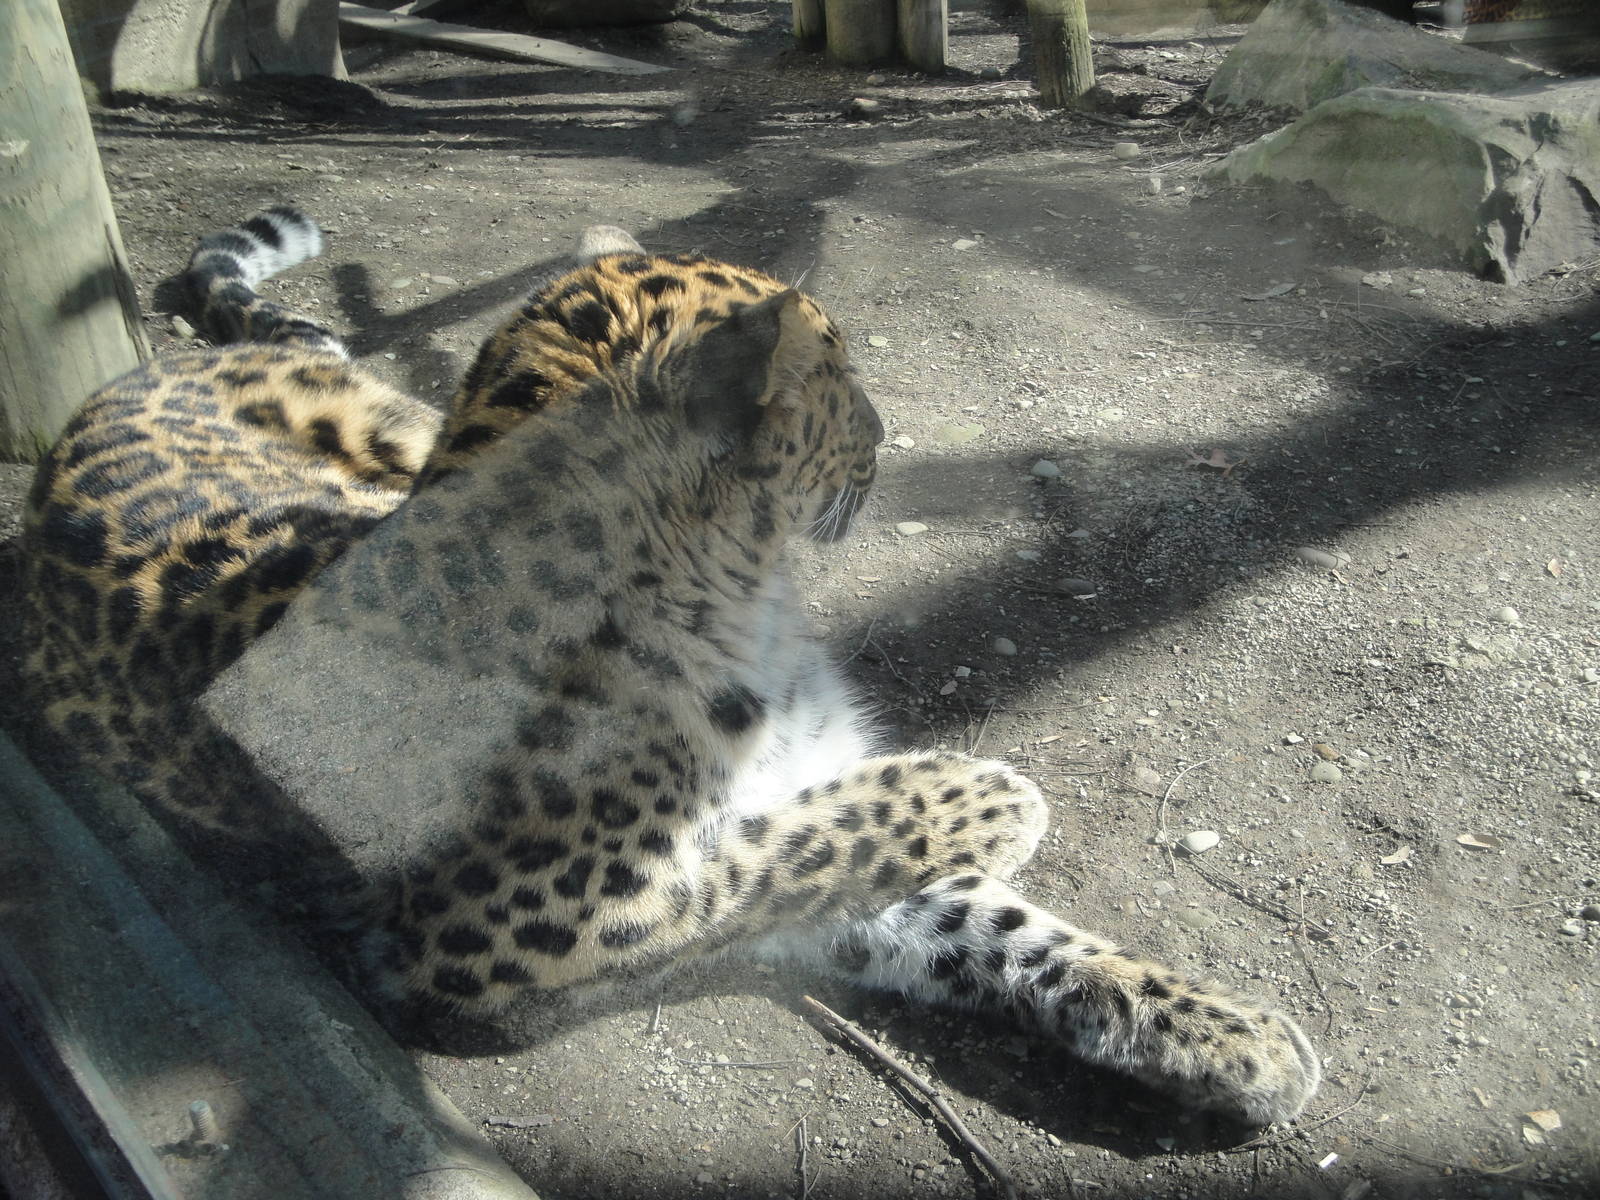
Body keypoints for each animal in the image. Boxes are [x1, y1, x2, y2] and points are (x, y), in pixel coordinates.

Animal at [20, 208, 1321, 1126]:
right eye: (838, 384)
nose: (887, 438)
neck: (744, 597)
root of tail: (122, 384)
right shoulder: (494, 930)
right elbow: (791, 845)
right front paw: (992, 796)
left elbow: (987, 923)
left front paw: (1226, 1031)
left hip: (383, 424)